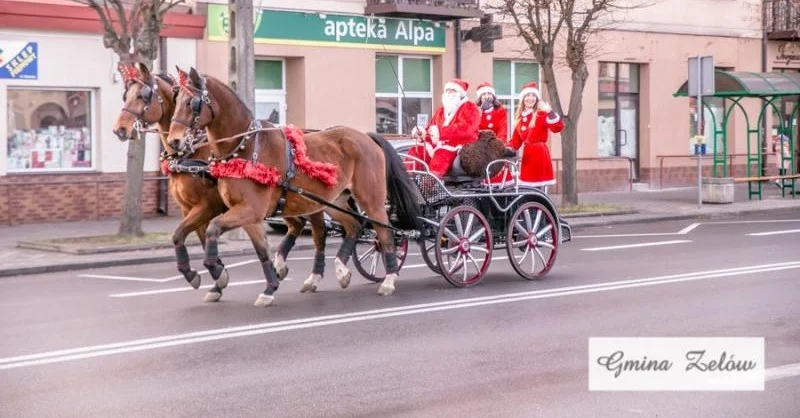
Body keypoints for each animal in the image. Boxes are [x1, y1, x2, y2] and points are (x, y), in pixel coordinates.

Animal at [166, 67, 422, 306]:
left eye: (192, 102)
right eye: (175, 100)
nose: (174, 142)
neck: (246, 147)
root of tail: (367, 136)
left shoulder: (247, 210)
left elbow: (212, 230)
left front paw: (217, 273)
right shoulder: (245, 214)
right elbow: (258, 250)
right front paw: (267, 287)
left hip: (371, 199)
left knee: (384, 232)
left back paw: (389, 279)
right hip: (334, 201)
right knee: (353, 225)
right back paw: (339, 269)